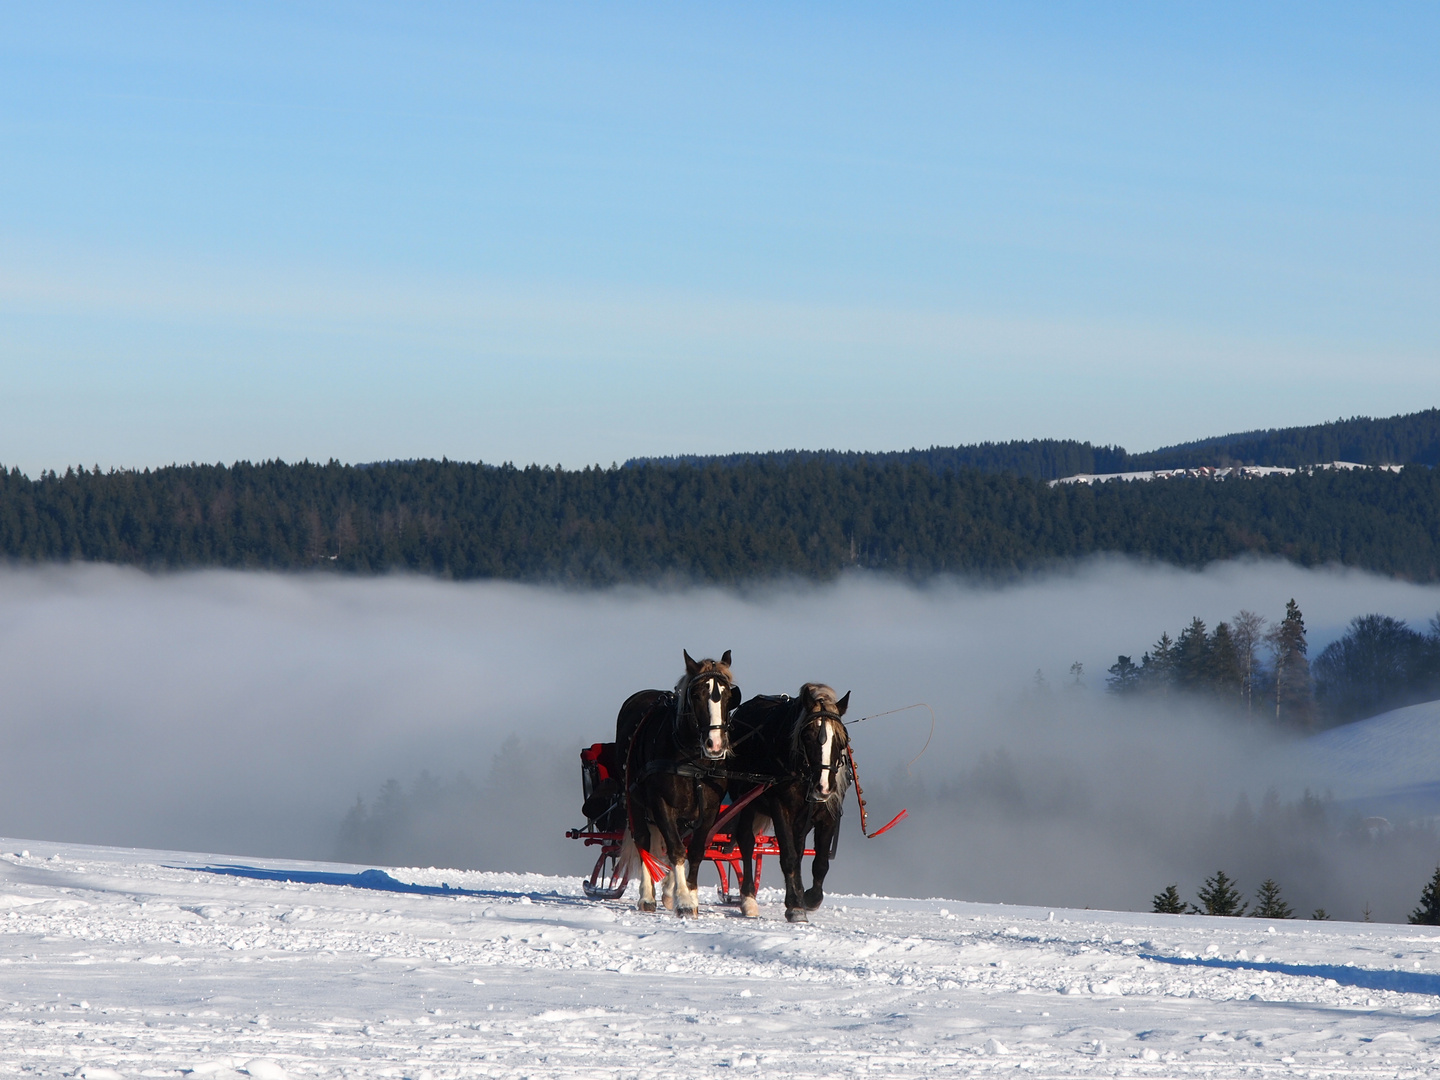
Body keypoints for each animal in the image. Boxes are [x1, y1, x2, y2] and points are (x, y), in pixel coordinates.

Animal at [613, 656, 743, 915]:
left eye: (727, 696)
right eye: (697, 694)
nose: (715, 745)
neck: (694, 762)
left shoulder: (709, 810)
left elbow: (694, 850)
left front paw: (689, 895)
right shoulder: (661, 804)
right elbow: (675, 849)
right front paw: (683, 900)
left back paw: (667, 891)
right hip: (636, 801)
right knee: (643, 840)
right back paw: (647, 896)